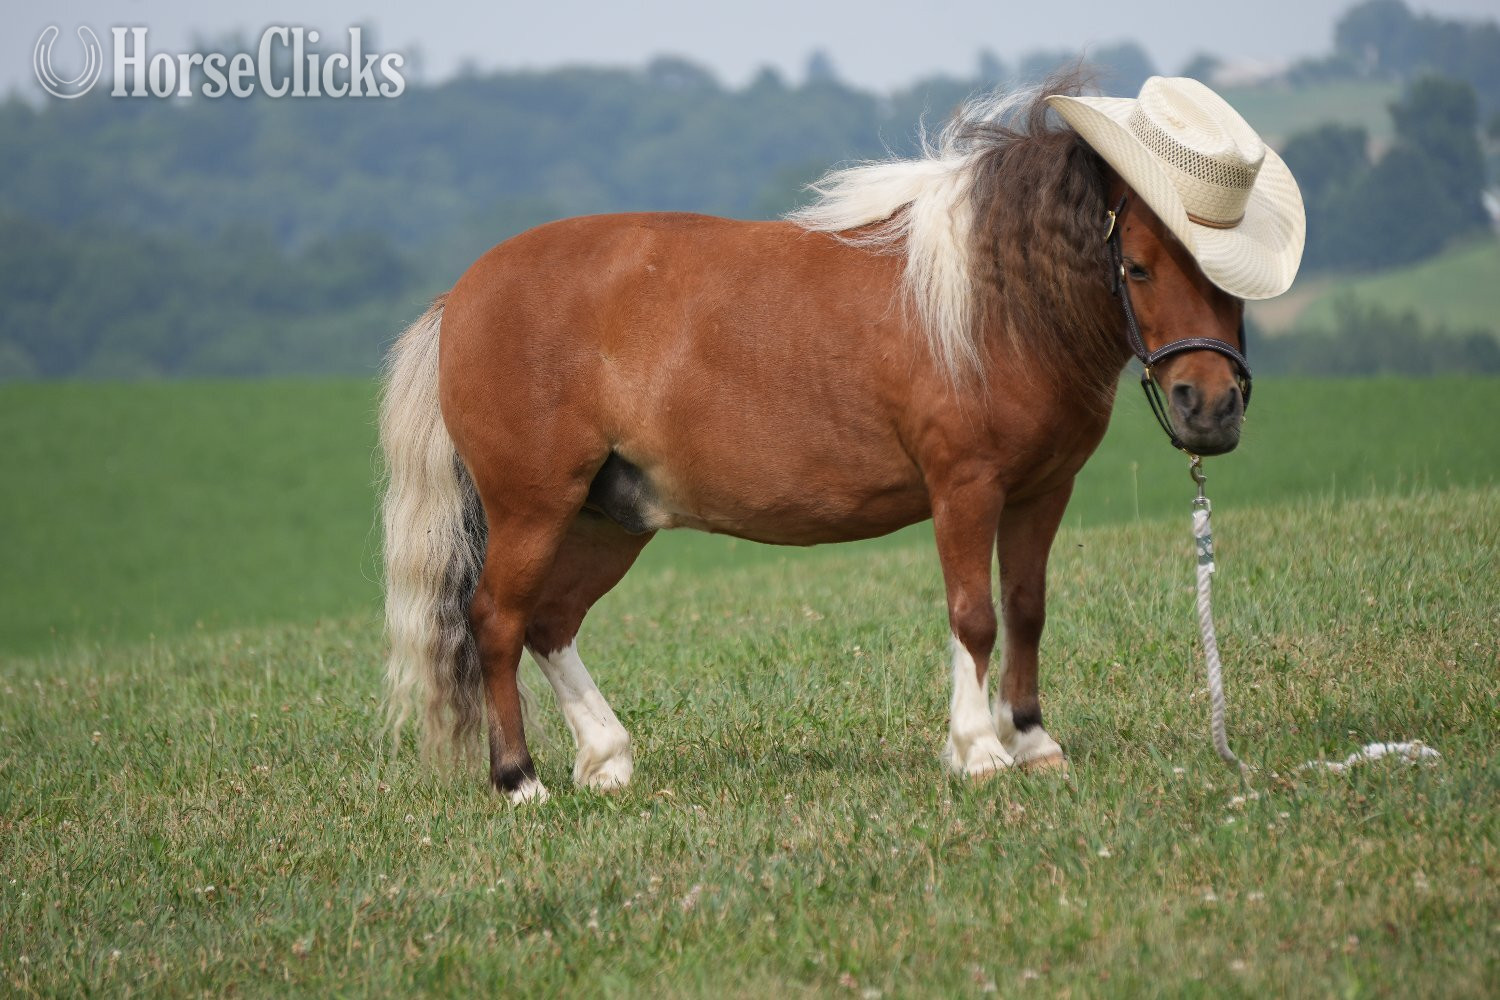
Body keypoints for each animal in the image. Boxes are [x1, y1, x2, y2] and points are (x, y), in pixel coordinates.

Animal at [379, 77, 1288, 803]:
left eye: (1229, 277)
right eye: (1137, 266)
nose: (1210, 408)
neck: (991, 305)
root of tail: (461, 297)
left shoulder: (1042, 490)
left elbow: (1026, 608)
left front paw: (1032, 741)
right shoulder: (966, 487)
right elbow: (975, 615)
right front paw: (979, 751)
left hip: (611, 517)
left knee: (550, 621)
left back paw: (606, 759)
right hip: (534, 508)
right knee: (497, 620)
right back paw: (519, 781)